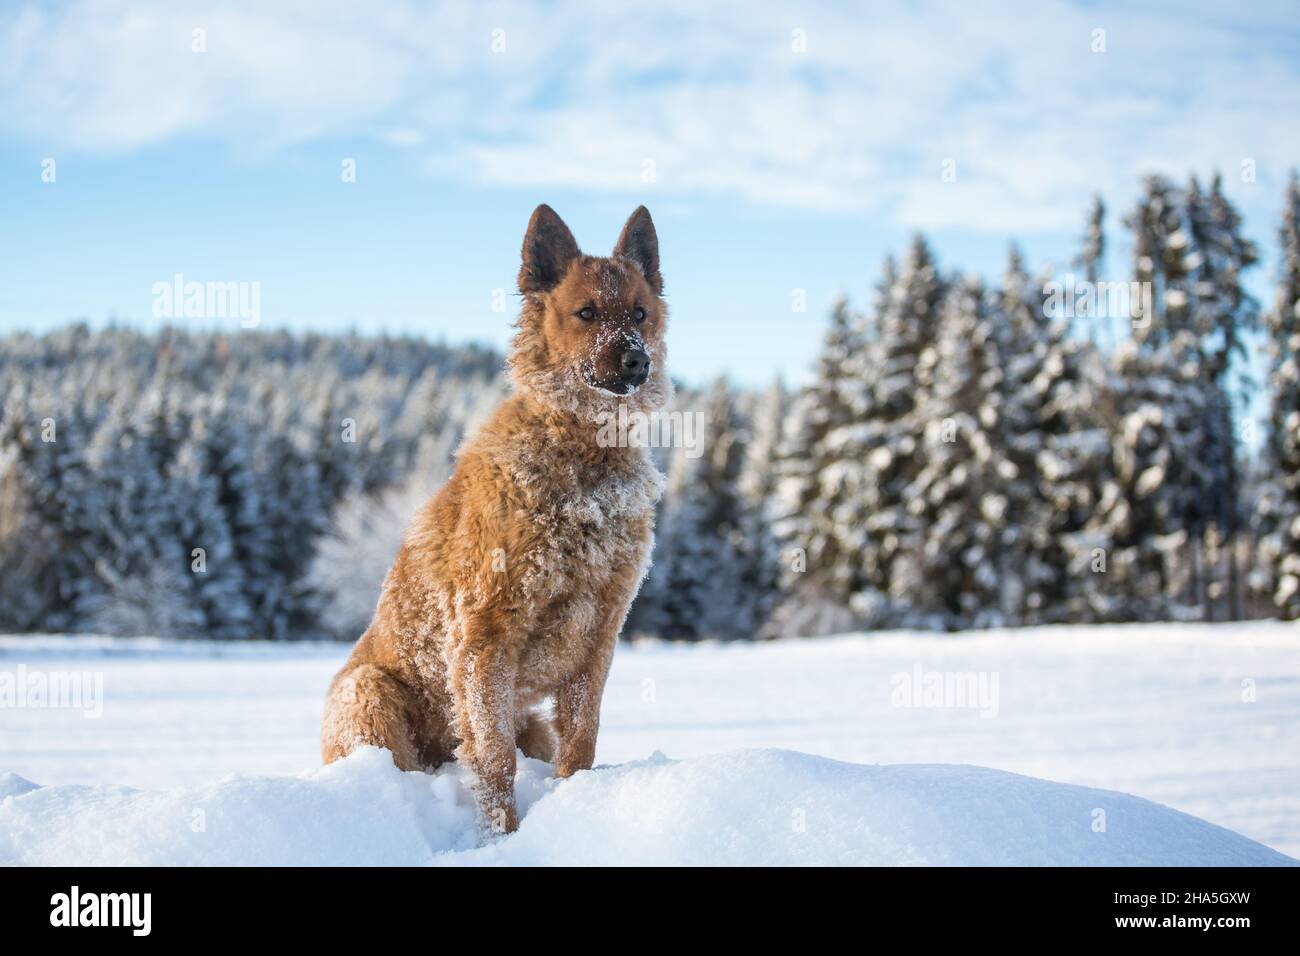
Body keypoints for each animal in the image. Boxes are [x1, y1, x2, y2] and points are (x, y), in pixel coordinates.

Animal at [322, 205, 670, 832]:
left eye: (639, 313)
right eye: (586, 313)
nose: (637, 358)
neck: (584, 460)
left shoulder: (600, 634)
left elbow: (580, 740)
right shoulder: (484, 635)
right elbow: (492, 758)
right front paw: (500, 836)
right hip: (370, 694)